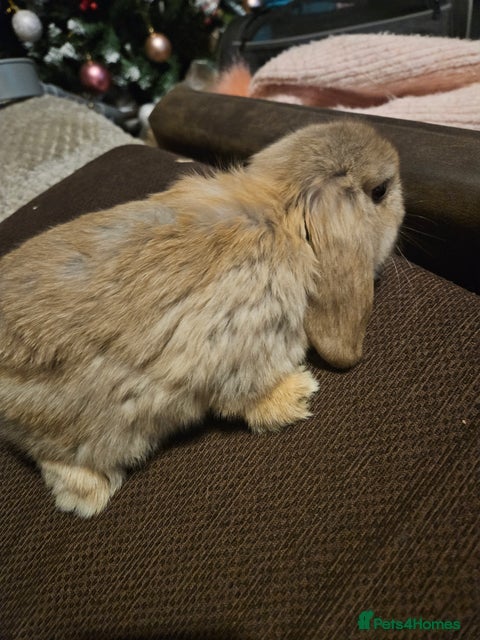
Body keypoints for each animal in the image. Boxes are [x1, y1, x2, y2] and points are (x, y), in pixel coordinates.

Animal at [0, 120, 404, 517]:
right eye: (380, 191)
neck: (281, 210)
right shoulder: (242, 349)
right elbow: (243, 398)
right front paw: (298, 395)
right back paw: (91, 496)